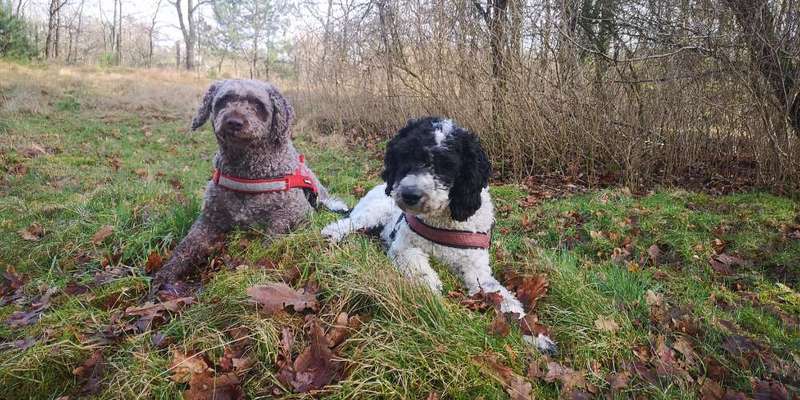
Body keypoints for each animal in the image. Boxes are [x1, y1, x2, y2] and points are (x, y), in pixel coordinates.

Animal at [322, 117, 552, 352]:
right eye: (406, 155)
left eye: (446, 164)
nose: (410, 194)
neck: (443, 222)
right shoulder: (404, 248)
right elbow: (422, 272)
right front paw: (432, 296)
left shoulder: (477, 268)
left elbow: (502, 297)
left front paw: (533, 333)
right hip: (372, 212)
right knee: (345, 223)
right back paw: (331, 235)